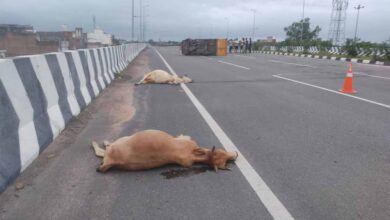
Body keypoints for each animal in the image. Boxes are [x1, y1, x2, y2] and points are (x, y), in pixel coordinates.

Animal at [92, 130, 238, 173]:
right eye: (221, 152)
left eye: (224, 163)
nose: (235, 155)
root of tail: (112, 162)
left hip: (120, 142)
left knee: (101, 151)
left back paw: (100, 142)